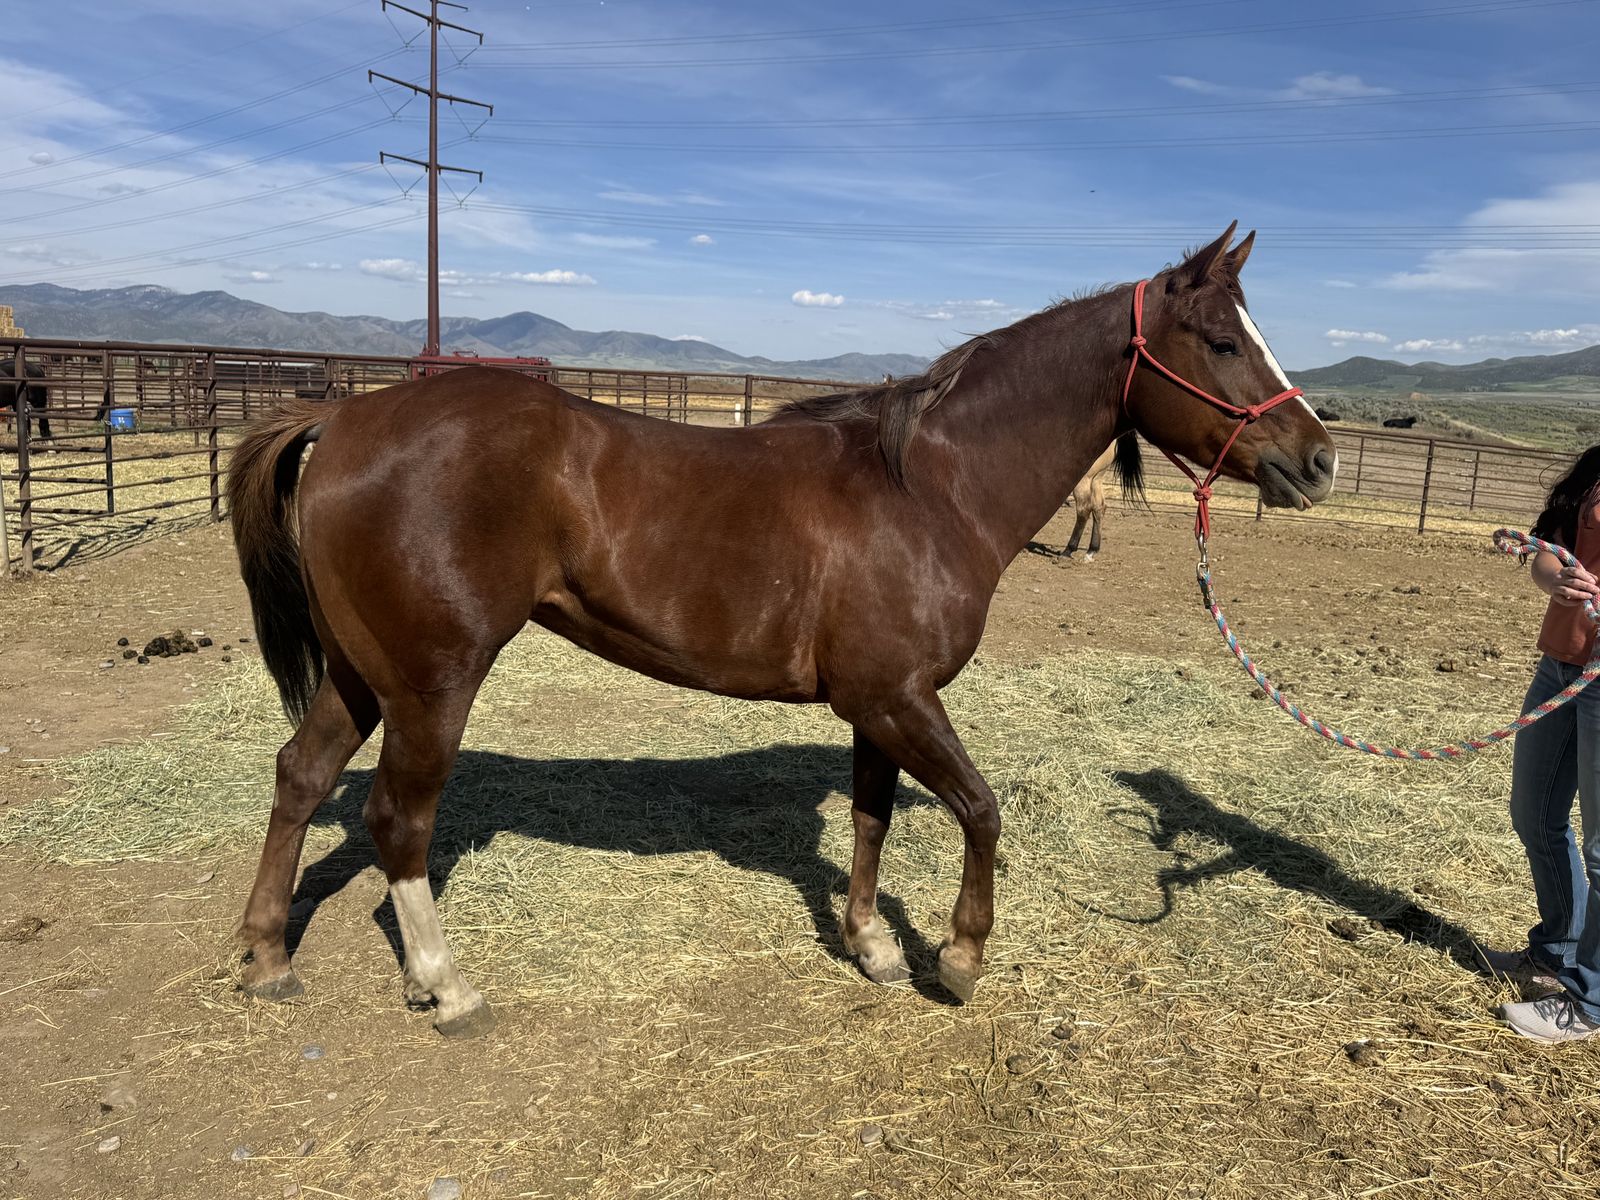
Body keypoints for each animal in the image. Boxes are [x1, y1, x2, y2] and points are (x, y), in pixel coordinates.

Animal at [227, 223, 1336, 1037]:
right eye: (1223, 342)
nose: (1318, 459)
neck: (929, 489)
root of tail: (345, 422)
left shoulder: (878, 706)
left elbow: (873, 819)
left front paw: (872, 946)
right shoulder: (898, 699)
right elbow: (980, 812)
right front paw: (959, 957)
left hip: (364, 675)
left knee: (300, 775)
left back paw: (268, 955)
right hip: (433, 682)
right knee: (398, 824)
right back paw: (446, 985)